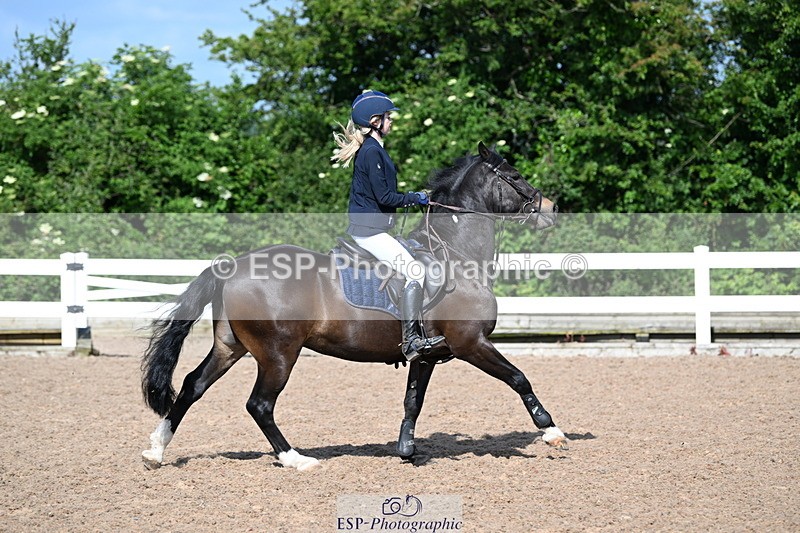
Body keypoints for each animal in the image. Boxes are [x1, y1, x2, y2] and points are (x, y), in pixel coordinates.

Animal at [141, 141, 566, 471]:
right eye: (514, 175)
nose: (551, 208)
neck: (455, 255)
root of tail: (232, 265)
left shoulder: (427, 355)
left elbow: (413, 400)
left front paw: (406, 450)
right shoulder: (471, 343)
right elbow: (519, 378)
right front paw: (552, 432)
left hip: (231, 346)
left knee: (192, 386)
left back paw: (155, 451)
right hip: (278, 353)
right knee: (259, 404)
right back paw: (296, 459)